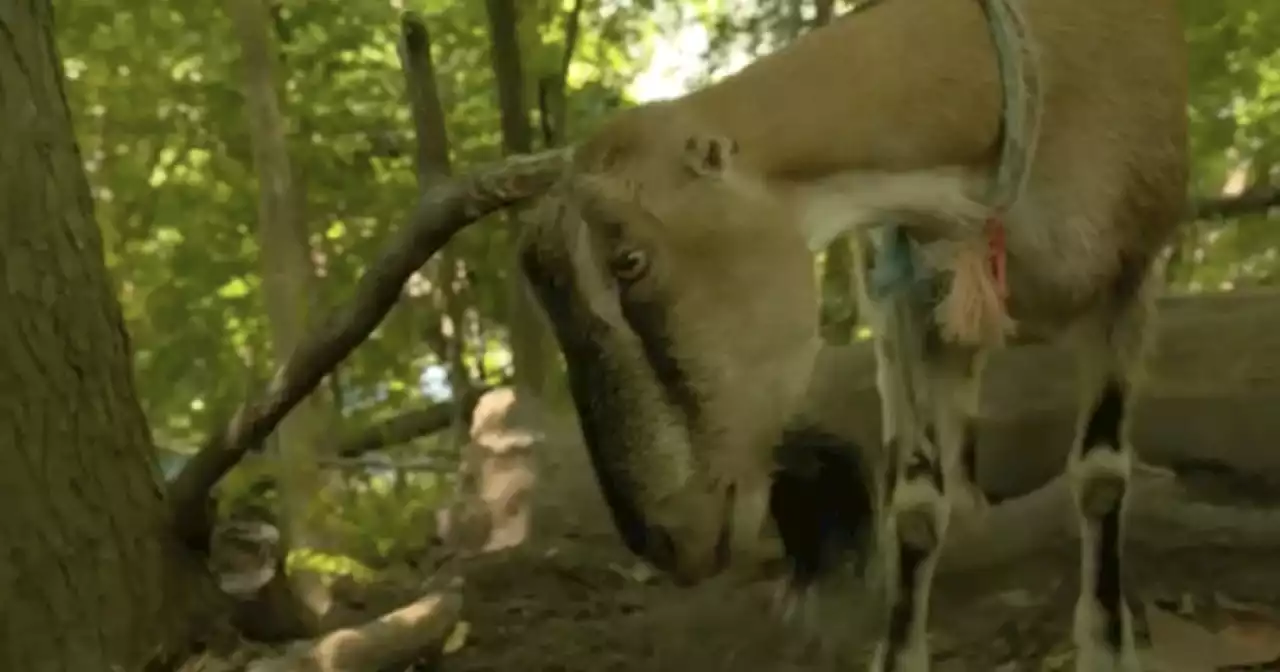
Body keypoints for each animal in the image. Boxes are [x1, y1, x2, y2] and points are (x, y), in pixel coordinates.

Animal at [512, 0, 1187, 665]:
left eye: (629, 260)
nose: (667, 538)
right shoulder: (909, 290)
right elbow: (917, 506)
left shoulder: (1131, 275)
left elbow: (1101, 476)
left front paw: (1107, 645)